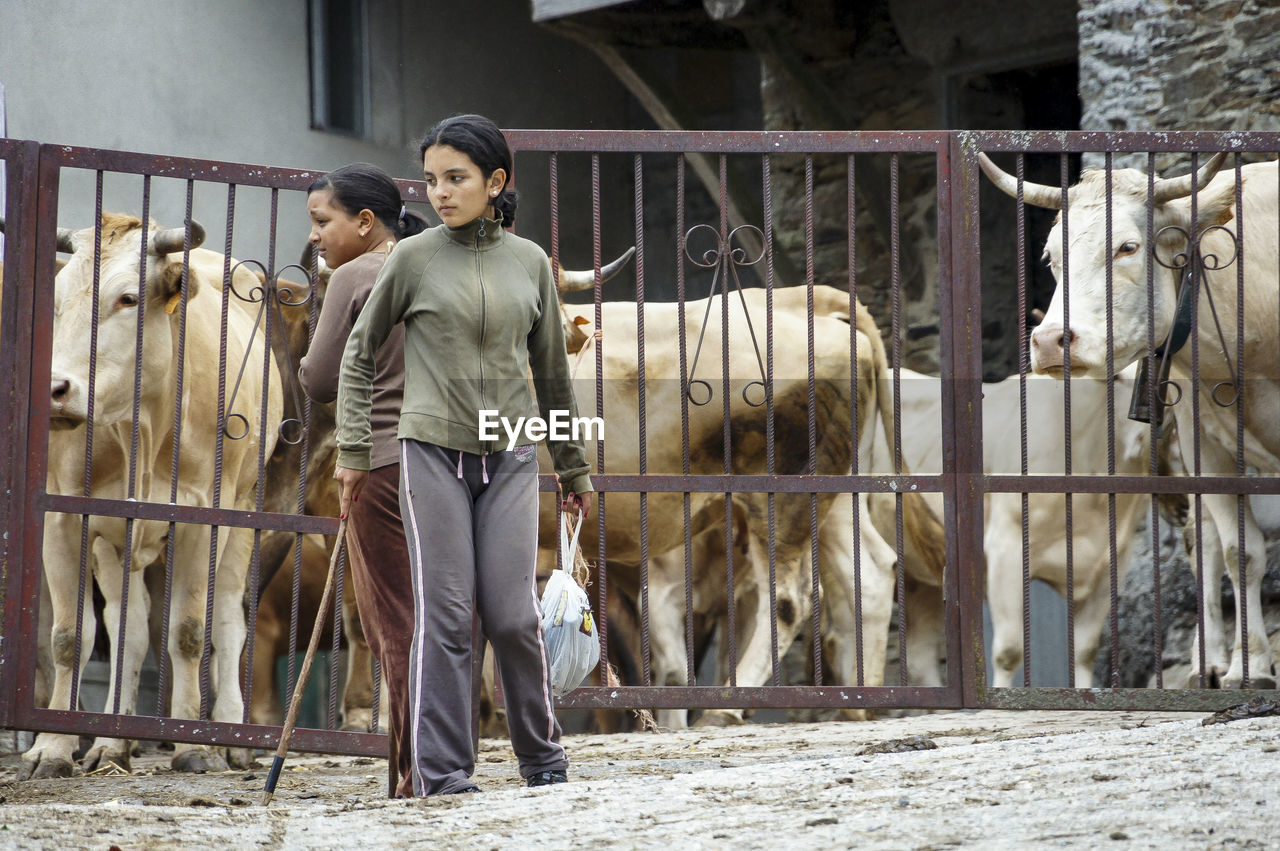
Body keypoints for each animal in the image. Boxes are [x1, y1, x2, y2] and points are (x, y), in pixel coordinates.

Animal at [18, 216, 282, 778]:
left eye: (128, 299)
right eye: (56, 302)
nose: (55, 388)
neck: (140, 425)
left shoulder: (203, 518)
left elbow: (187, 631)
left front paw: (191, 746)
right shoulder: (66, 518)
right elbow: (71, 638)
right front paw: (53, 747)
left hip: (245, 512)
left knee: (229, 623)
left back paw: (232, 737)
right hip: (114, 545)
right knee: (130, 628)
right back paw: (111, 743)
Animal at [983, 149, 1274, 685]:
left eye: (1127, 247)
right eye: (1051, 257)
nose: (1050, 341)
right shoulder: (1207, 442)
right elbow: (1240, 551)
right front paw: (1253, 668)